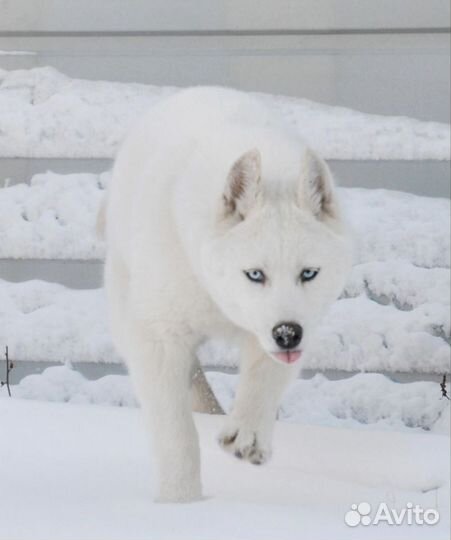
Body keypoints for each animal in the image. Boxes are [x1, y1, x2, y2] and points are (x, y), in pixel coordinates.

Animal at [103, 85, 354, 502]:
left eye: (308, 273)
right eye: (254, 274)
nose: (288, 334)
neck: (214, 294)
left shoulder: (286, 329)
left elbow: (262, 380)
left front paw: (247, 436)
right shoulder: (157, 337)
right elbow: (175, 429)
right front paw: (181, 500)